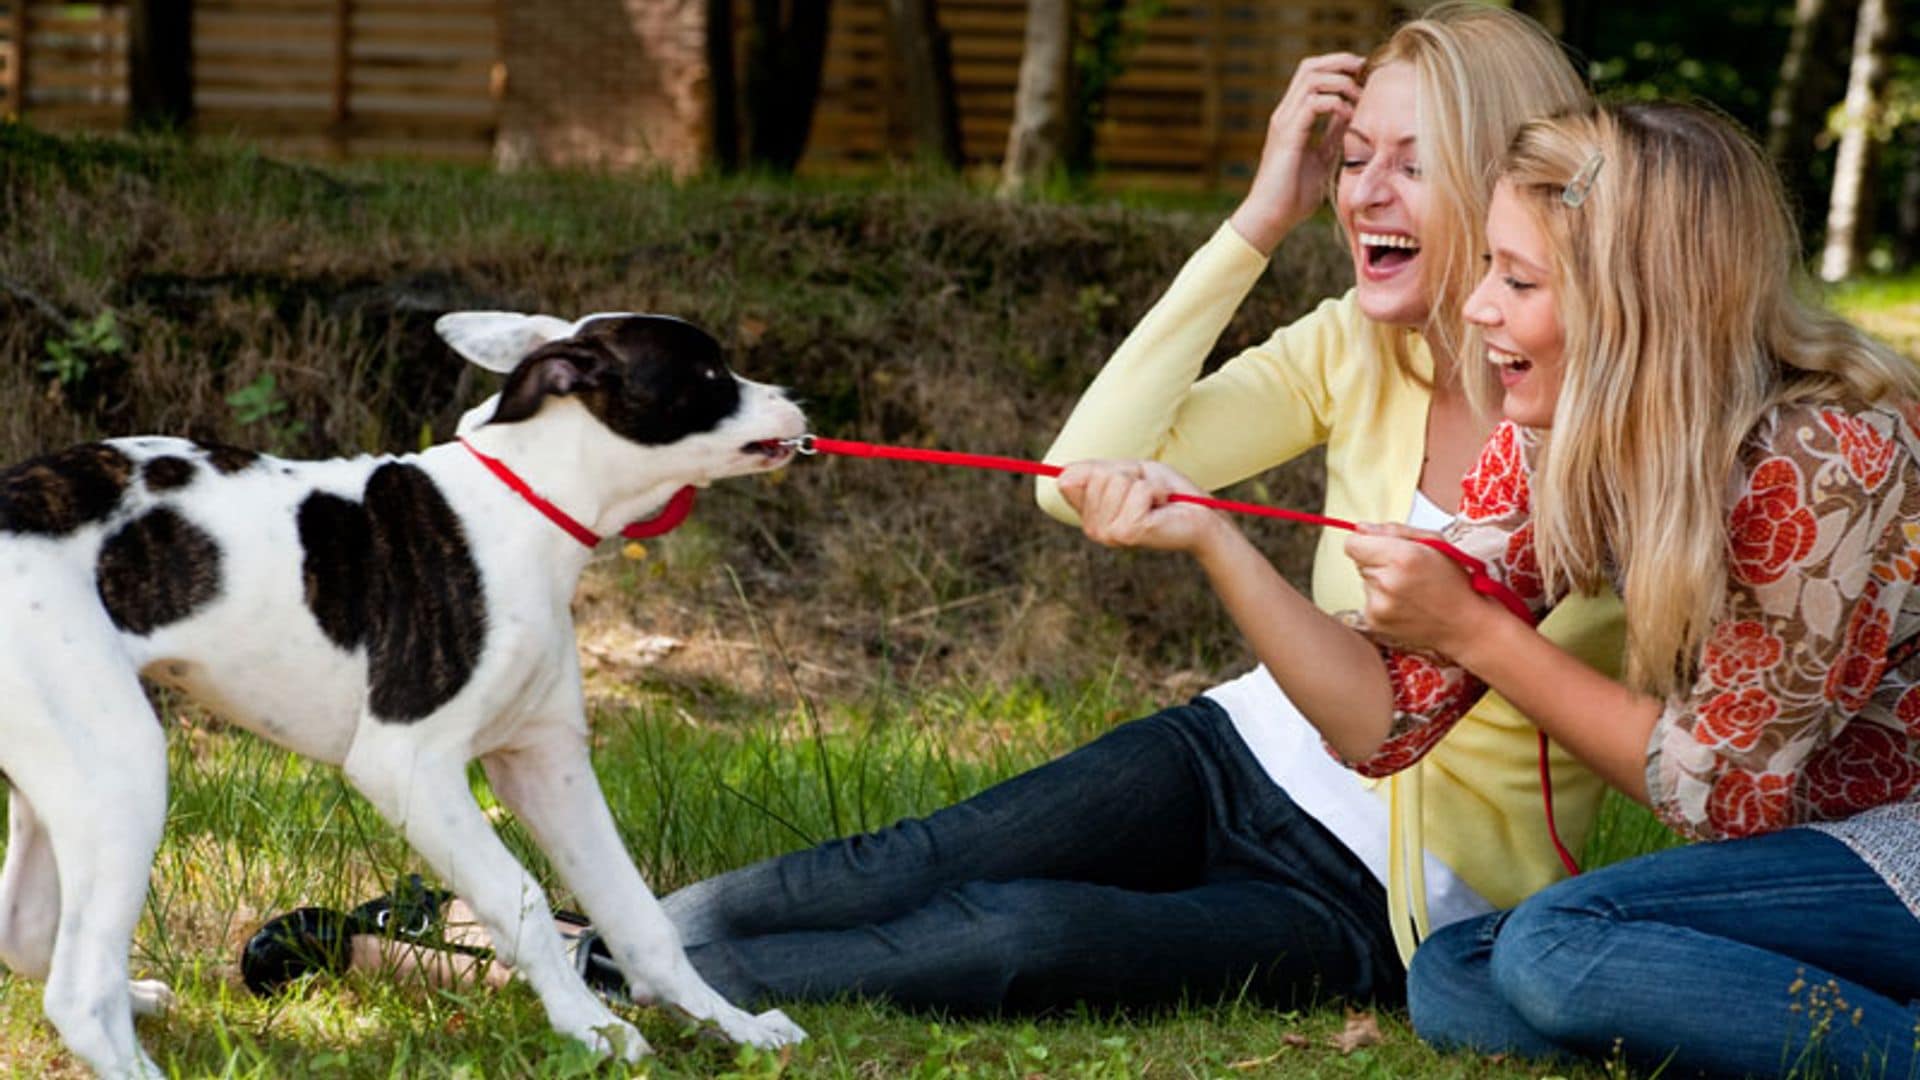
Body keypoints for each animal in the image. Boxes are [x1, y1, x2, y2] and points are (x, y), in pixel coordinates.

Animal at [0, 309, 806, 1068]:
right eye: (710, 374)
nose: (795, 402)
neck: (523, 507)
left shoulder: (548, 766)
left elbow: (641, 917)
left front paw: (729, 1026)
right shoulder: (408, 765)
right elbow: (520, 896)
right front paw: (591, 1026)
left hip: (65, 779)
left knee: (30, 933)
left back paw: (136, 997)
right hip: (122, 770)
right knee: (77, 991)